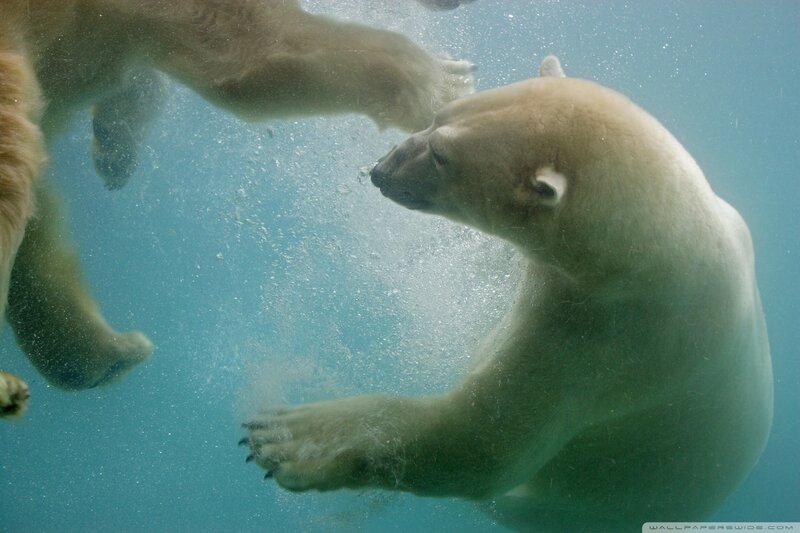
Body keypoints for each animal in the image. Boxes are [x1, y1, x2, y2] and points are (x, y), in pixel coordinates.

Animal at [242, 56, 773, 533]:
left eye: (442, 156)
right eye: (437, 117)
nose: (379, 170)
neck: (654, 248)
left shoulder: (610, 341)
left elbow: (484, 447)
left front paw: (288, 438)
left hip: (575, 508)